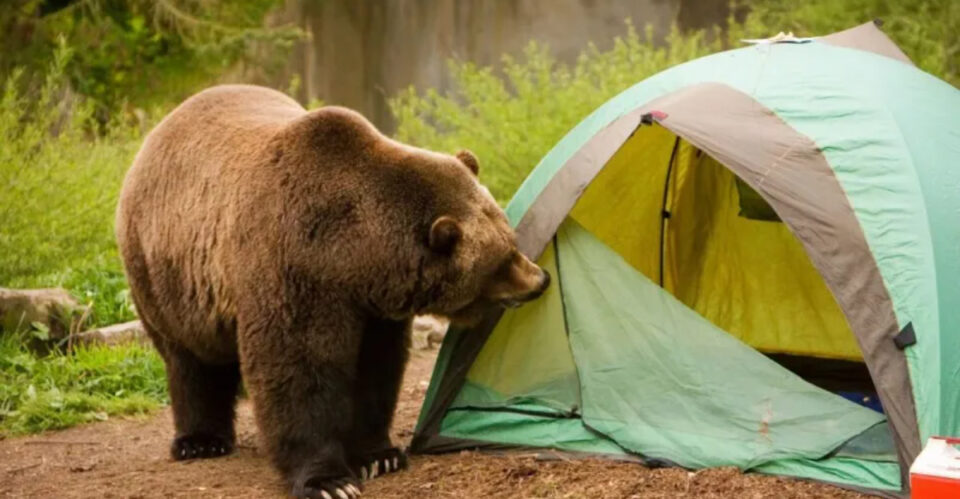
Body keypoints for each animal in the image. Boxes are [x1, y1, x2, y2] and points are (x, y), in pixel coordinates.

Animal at [115, 84, 550, 498]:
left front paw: (380, 455)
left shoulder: (373, 307)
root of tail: (161, 128)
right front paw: (329, 480)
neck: (354, 255)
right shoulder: (293, 267)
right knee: (190, 359)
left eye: (510, 238)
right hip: (165, 275)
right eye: (502, 258)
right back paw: (200, 440)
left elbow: (376, 369)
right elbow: (299, 370)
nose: (540, 278)